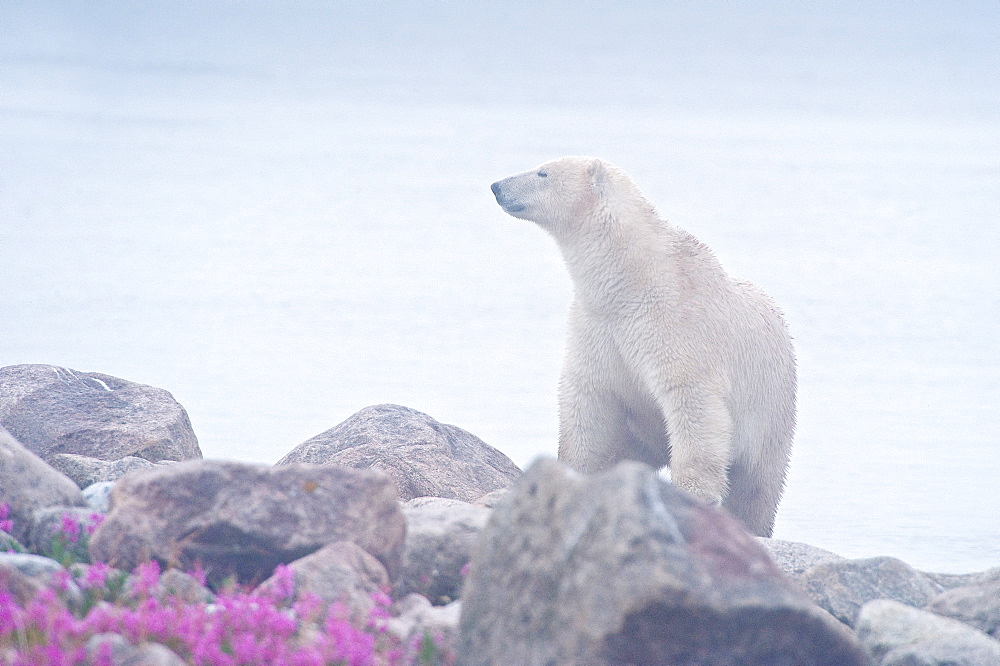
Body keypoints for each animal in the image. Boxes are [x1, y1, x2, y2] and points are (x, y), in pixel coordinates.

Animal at [488, 156, 792, 536]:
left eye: (543, 172)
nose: (496, 186)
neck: (631, 279)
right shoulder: (597, 326)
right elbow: (587, 395)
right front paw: (570, 474)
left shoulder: (677, 324)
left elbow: (693, 401)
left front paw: (695, 493)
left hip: (770, 411)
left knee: (757, 484)